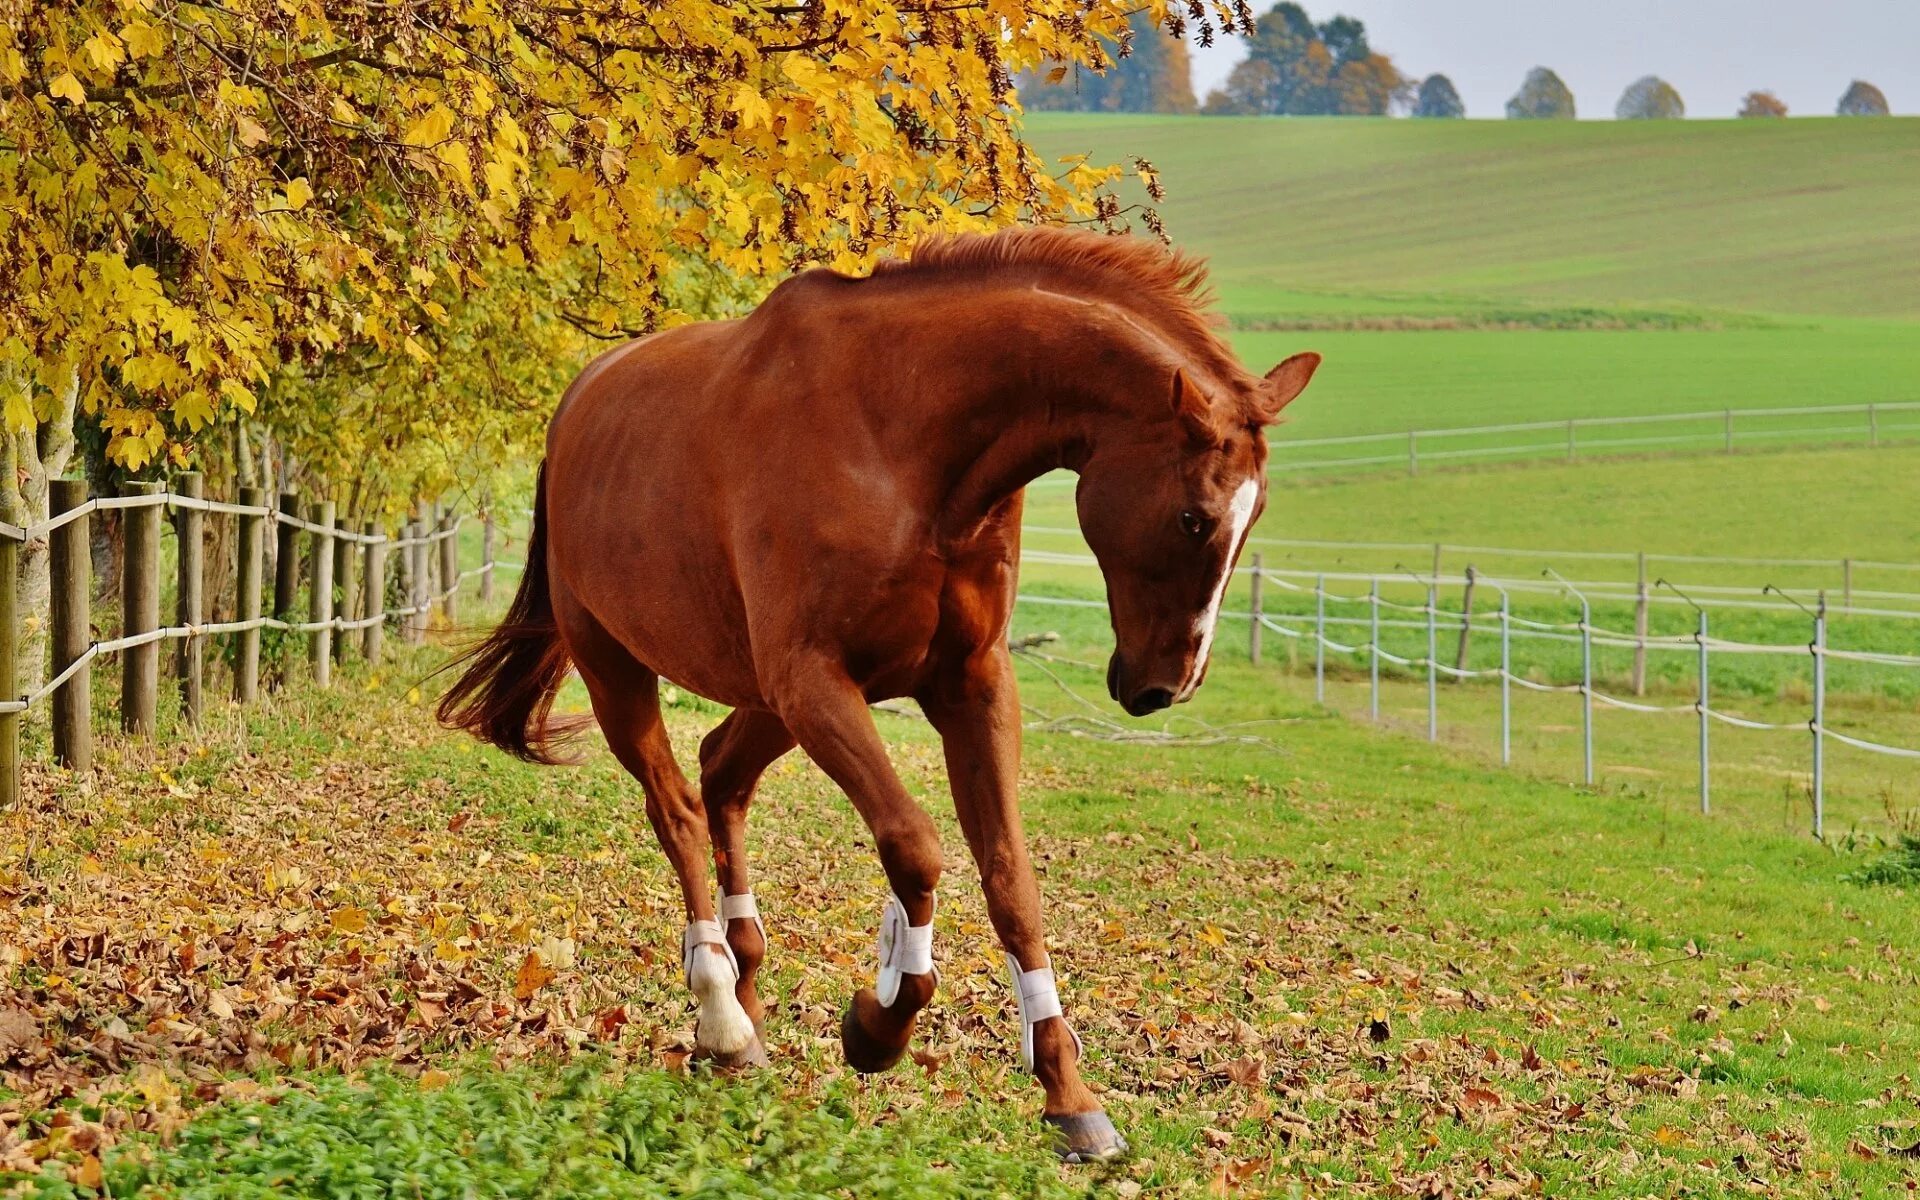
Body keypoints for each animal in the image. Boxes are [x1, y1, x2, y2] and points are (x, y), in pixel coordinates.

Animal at [439, 226, 1313, 1159]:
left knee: (720, 774)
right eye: (1195, 517)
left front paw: (1069, 1094)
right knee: (676, 809)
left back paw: (746, 999)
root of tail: (577, 406)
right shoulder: (816, 680)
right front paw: (877, 1024)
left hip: (765, 703)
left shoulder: (969, 687)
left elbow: (1012, 881)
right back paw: (721, 1016)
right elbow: (916, 848)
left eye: (1254, 519)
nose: (1165, 687)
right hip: (619, 671)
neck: (903, 439)